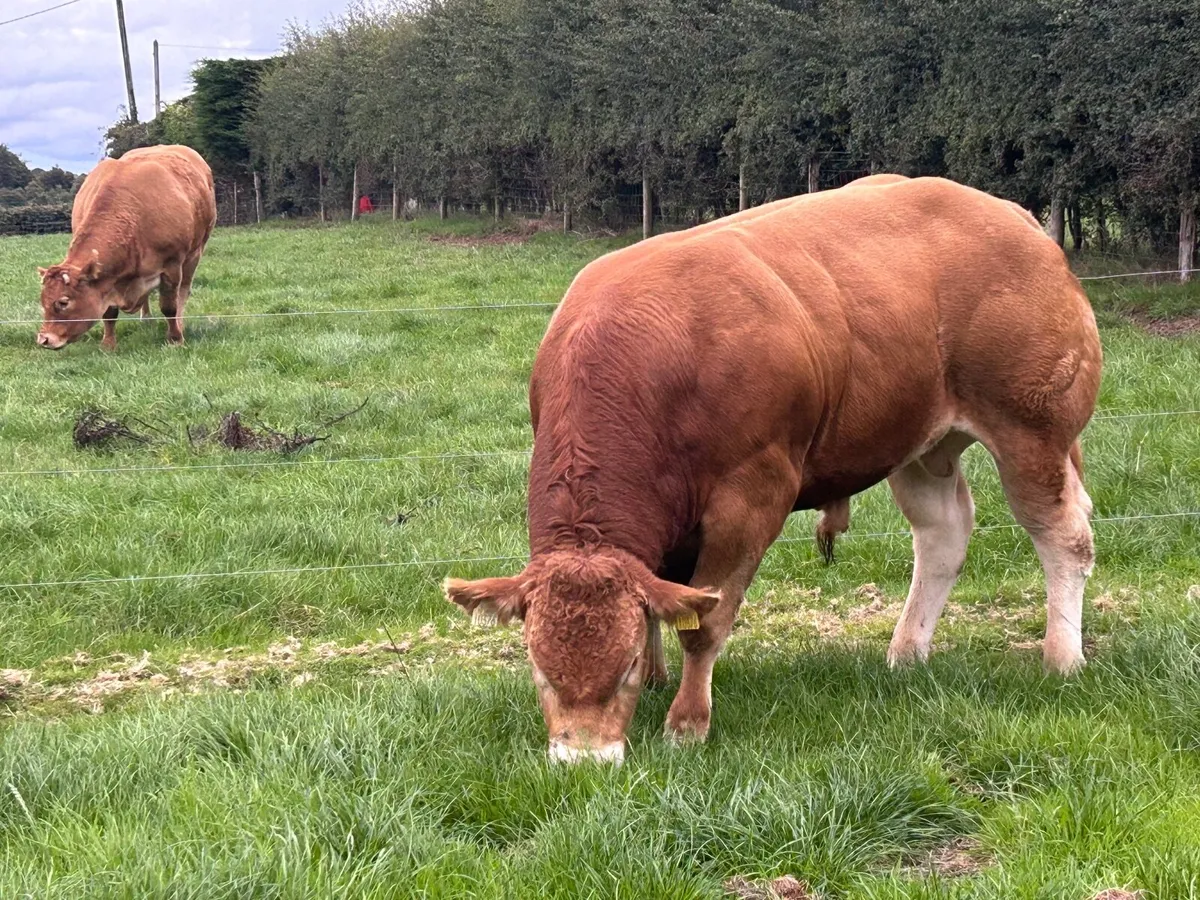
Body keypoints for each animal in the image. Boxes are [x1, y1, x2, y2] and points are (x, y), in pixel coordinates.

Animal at [36, 145, 216, 351]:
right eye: (43, 300)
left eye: (63, 302)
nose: (44, 339)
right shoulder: (108, 280)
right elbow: (109, 313)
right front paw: (108, 344)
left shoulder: (172, 266)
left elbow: (169, 306)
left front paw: (175, 338)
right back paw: (146, 318)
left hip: (195, 253)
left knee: (183, 292)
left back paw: (180, 322)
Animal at [445, 174, 1102, 764]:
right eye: (537, 665)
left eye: (623, 665)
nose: (584, 759)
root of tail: (1013, 216)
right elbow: (664, 595)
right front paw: (662, 680)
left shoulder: (751, 497)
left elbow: (706, 621)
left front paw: (686, 722)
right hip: (919, 444)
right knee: (944, 535)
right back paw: (907, 651)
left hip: (1031, 432)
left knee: (1064, 537)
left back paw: (1061, 657)